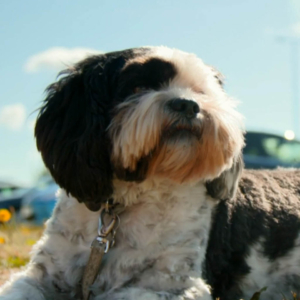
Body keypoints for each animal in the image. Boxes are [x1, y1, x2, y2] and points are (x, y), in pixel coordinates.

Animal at [0, 47, 298, 300]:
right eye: (139, 87)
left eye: (200, 92)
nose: (188, 104)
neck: (129, 201)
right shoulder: (43, 275)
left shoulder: (173, 283)